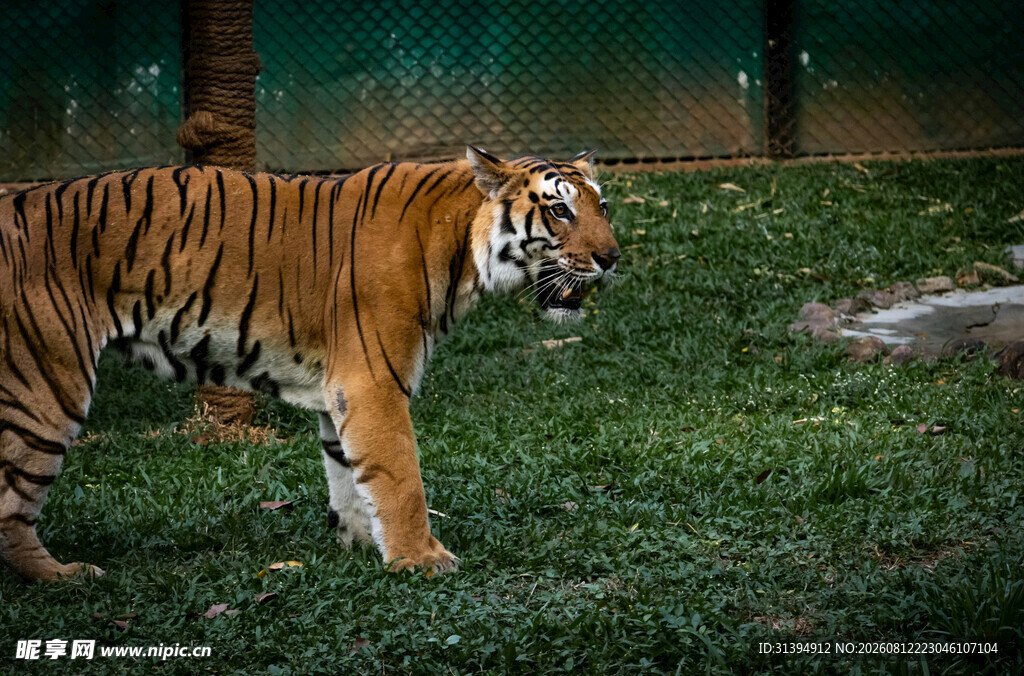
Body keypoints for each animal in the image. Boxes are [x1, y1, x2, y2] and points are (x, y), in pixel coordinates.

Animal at [0, 146, 619, 580]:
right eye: (560, 210)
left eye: (603, 207)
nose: (612, 258)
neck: (462, 246)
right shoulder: (373, 382)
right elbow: (400, 477)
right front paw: (421, 559)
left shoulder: (340, 390)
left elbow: (350, 476)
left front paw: (361, 546)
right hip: (46, 384)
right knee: (12, 503)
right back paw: (64, 577)